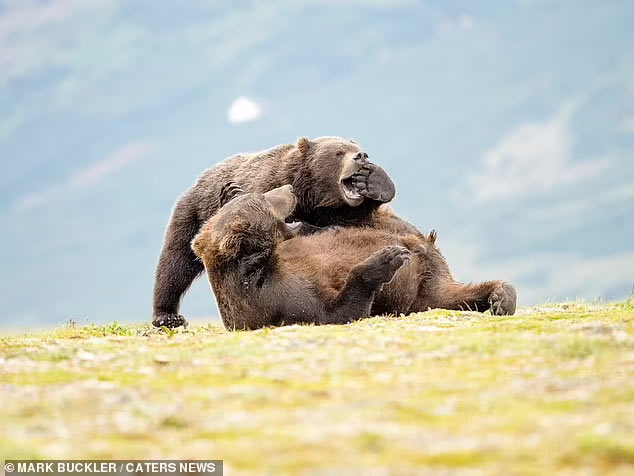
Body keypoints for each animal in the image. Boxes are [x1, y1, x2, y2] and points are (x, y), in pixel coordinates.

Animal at [191, 184, 512, 330]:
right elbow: (338, 311)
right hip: (421, 287)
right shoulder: (278, 298)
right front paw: (387, 259)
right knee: (443, 296)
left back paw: (502, 296)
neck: (262, 264)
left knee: (450, 291)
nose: (289, 188)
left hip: (428, 270)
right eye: (265, 199)